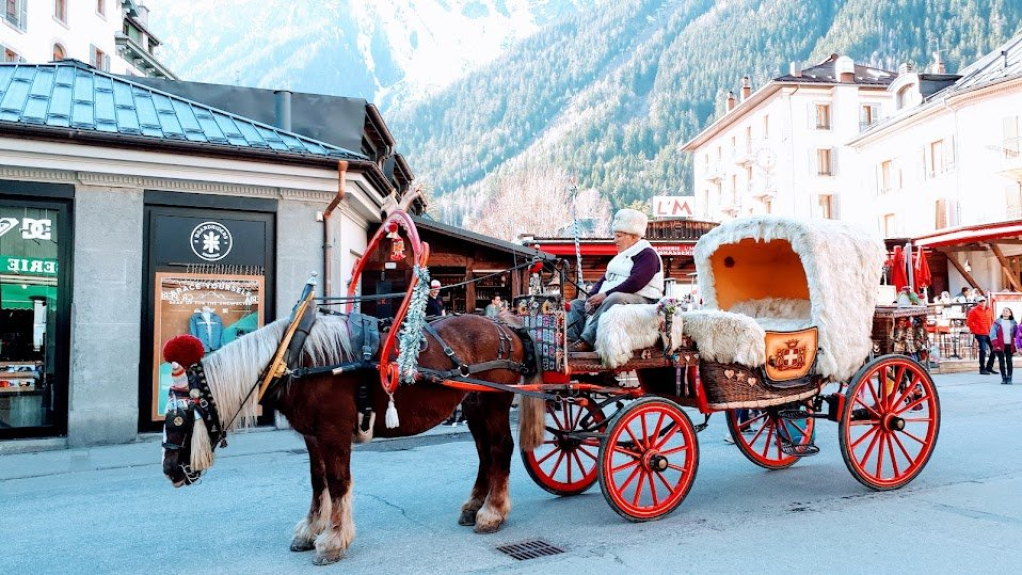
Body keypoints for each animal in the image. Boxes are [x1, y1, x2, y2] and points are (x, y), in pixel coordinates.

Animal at [160, 312, 545, 566]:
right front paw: (311, 530)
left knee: (501, 449)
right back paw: (475, 505)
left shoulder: (333, 431)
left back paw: (493, 512)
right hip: (474, 404)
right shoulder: (312, 435)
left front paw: (333, 540)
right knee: (485, 453)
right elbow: (318, 482)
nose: (170, 469)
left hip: (494, 403)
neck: (296, 359)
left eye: (180, 417)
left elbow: (337, 482)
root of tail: (504, 327)